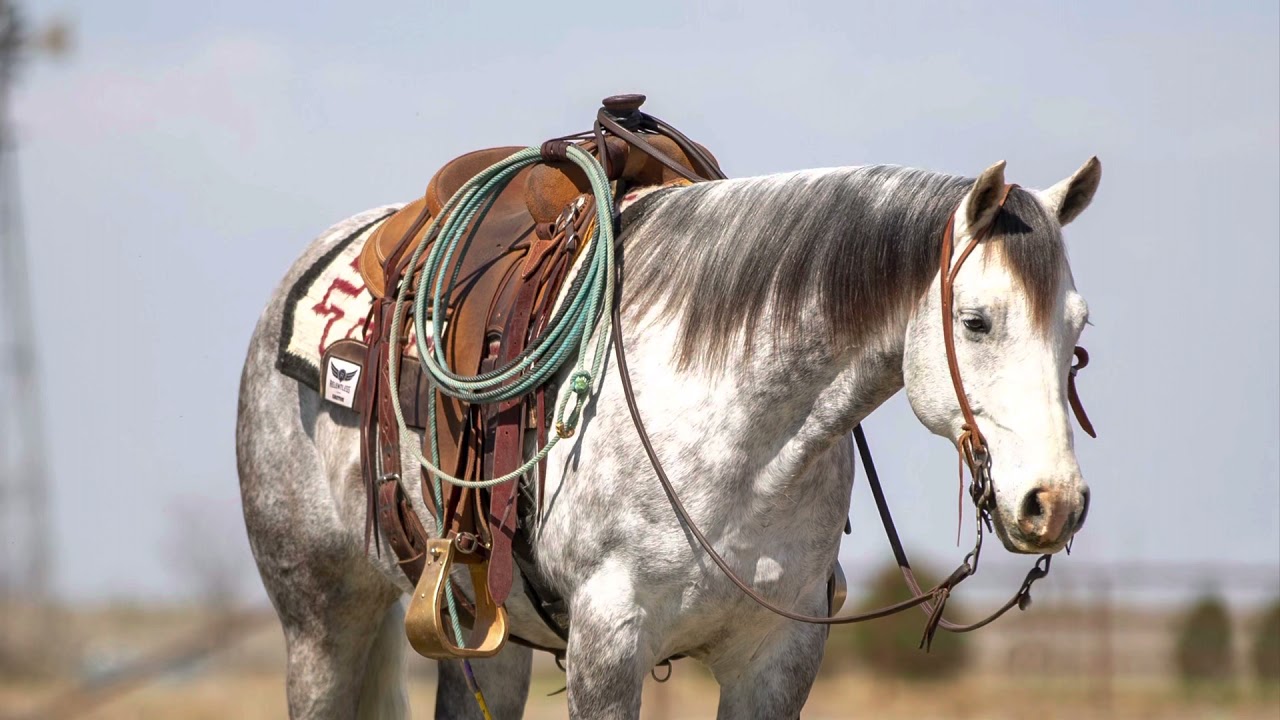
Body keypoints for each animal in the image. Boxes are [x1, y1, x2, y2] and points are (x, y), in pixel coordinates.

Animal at [237, 155, 1101, 719]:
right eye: (976, 321)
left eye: (1079, 329)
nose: (1054, 503)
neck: (741, 439)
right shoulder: (608, 647)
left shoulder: (776, 658)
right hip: (320, 619)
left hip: (485, 631)